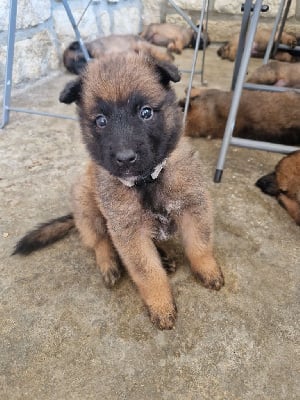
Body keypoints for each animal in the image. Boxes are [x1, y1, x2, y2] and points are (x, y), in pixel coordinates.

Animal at [14, 52, 225, 328]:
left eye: (146, 112)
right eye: (101, 121)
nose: (125, 159)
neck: (147, 181)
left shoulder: (194, 206)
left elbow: (199, 245)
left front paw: (207, 269)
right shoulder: (128, 232)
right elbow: (148, 272)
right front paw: (161, 304)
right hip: (87, 205)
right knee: (100, 241)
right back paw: (110, 264)